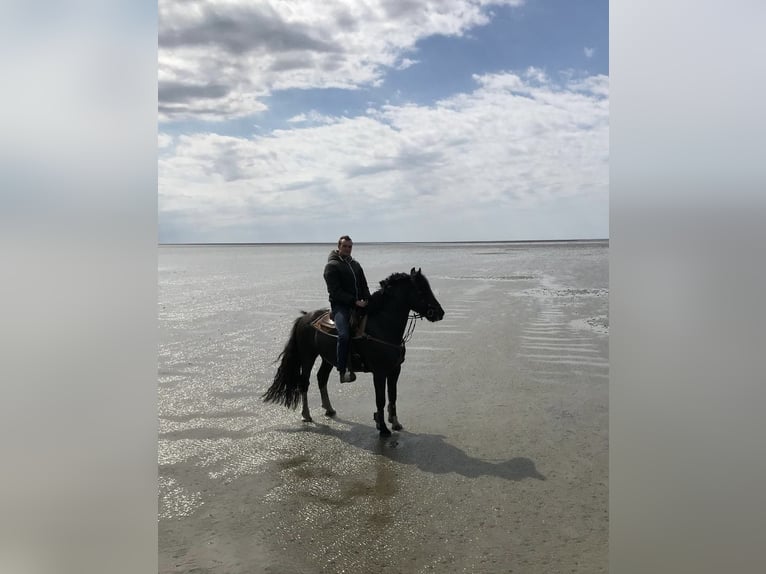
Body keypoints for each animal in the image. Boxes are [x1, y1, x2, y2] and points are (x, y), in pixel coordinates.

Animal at [262, 268, 444, 438]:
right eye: (421, 291)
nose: (439, 313)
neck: (382, 327)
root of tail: (305, 317)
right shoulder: (379, 372)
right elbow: (380, 399)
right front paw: (383, 428)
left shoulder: (395, 370)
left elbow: (393, 396)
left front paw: (395, 423)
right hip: (308, 357)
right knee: (304, 383)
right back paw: (306, 415)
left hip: (328, 358)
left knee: (321, 377)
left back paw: (329, 409)